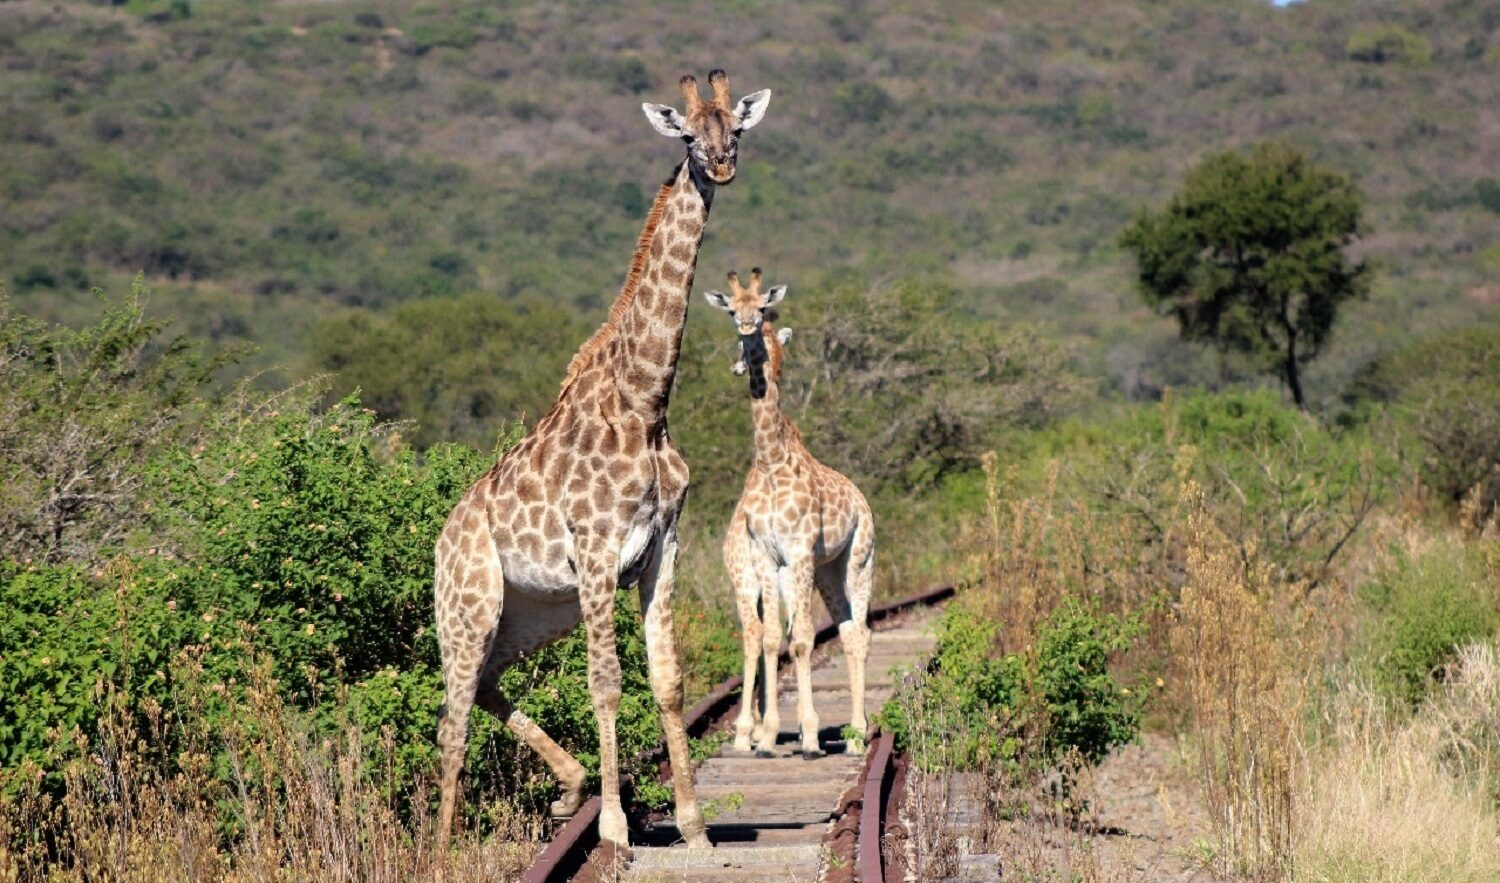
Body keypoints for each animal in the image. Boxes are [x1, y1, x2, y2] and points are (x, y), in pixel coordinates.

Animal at [431, 71, 772, 851]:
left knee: (486, 684)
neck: (645, 402)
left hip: (531, 611)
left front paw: (693, 824)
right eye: (688, 135)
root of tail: (440, 538)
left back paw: (570, 787)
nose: (721, 166)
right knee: (451, 722)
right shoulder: (594, 549)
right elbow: (607, 682)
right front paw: (617, 828)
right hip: (466, 606)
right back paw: (440, 848)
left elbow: (668, 679)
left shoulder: (662, 546)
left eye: (736, 130)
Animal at [703, 270, 875, 759]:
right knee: (844, 628)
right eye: (731, 310)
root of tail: (862, 498)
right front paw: (766, 738)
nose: (746, 331)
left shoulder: (797, 552)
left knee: (859, 633)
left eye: (762, 308)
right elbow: (771, 638)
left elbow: (801, 640)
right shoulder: (767, 557)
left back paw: (858, 735)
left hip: (858, 559)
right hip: (825, 570)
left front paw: (811, 737)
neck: (771, 462)